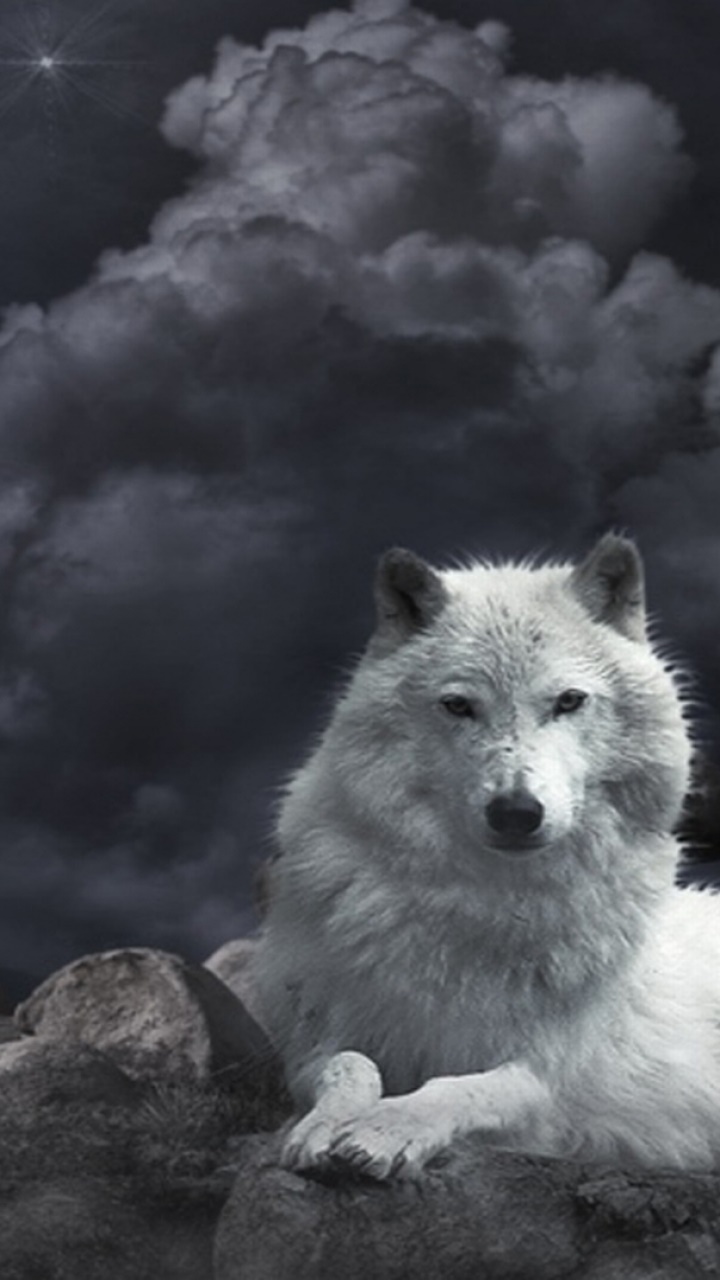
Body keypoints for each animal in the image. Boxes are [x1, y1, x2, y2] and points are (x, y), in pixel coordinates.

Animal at [254, 534, 720, 1179]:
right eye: (458, 706)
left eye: (569, 701)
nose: (516, 811)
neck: (489, 905)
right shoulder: (310, 1044)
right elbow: (350, 1065)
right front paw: (326, 1126)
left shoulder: (552, 1083)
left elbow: (465, 1086)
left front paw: (385, 1130)